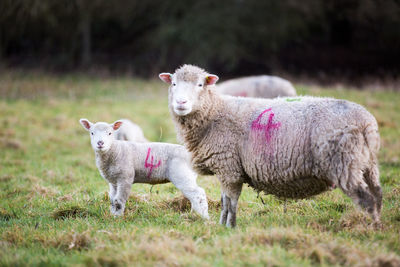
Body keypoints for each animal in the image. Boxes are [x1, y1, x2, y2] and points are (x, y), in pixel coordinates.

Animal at [78, 119, 209, 220]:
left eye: (110, 133)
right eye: (92, 133)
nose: (100, 143)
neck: (115, 150)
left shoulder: (125, 178)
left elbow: (119, 201)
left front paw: (117, 218)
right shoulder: (113, 181)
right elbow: (112, 200)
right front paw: (112, 215)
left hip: (182, 175)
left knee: (198, 193)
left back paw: (202, 217)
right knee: (194, 195)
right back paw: (193, 214)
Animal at [159, 64, 382, 228]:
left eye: (199, 85)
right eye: (174, 83)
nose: (181, 103)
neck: (215, 113)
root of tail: (367, 121)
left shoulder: (229, 167)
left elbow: (230, 202)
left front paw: (229, 227)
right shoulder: (227, 169)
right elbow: (224, 201)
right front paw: (221, 225)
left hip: (344, 162)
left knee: (366, 199)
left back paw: (370, 228)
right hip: (367, 164)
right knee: (377, 194)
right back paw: (379, 224)